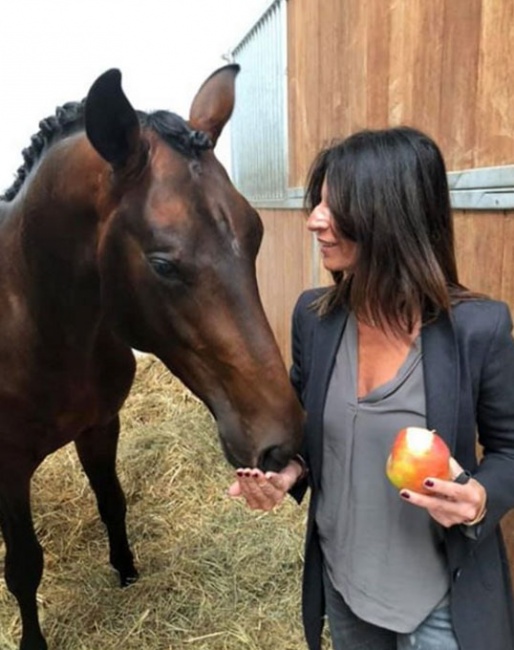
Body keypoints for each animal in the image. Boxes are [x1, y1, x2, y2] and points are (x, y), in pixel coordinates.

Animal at [0, 63, 304, 644]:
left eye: (255, 233)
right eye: (163, 264)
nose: (282, 446)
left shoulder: (101, 426)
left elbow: (112, 502)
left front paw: (126, 571)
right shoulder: (6, 467)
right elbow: (24, 566)